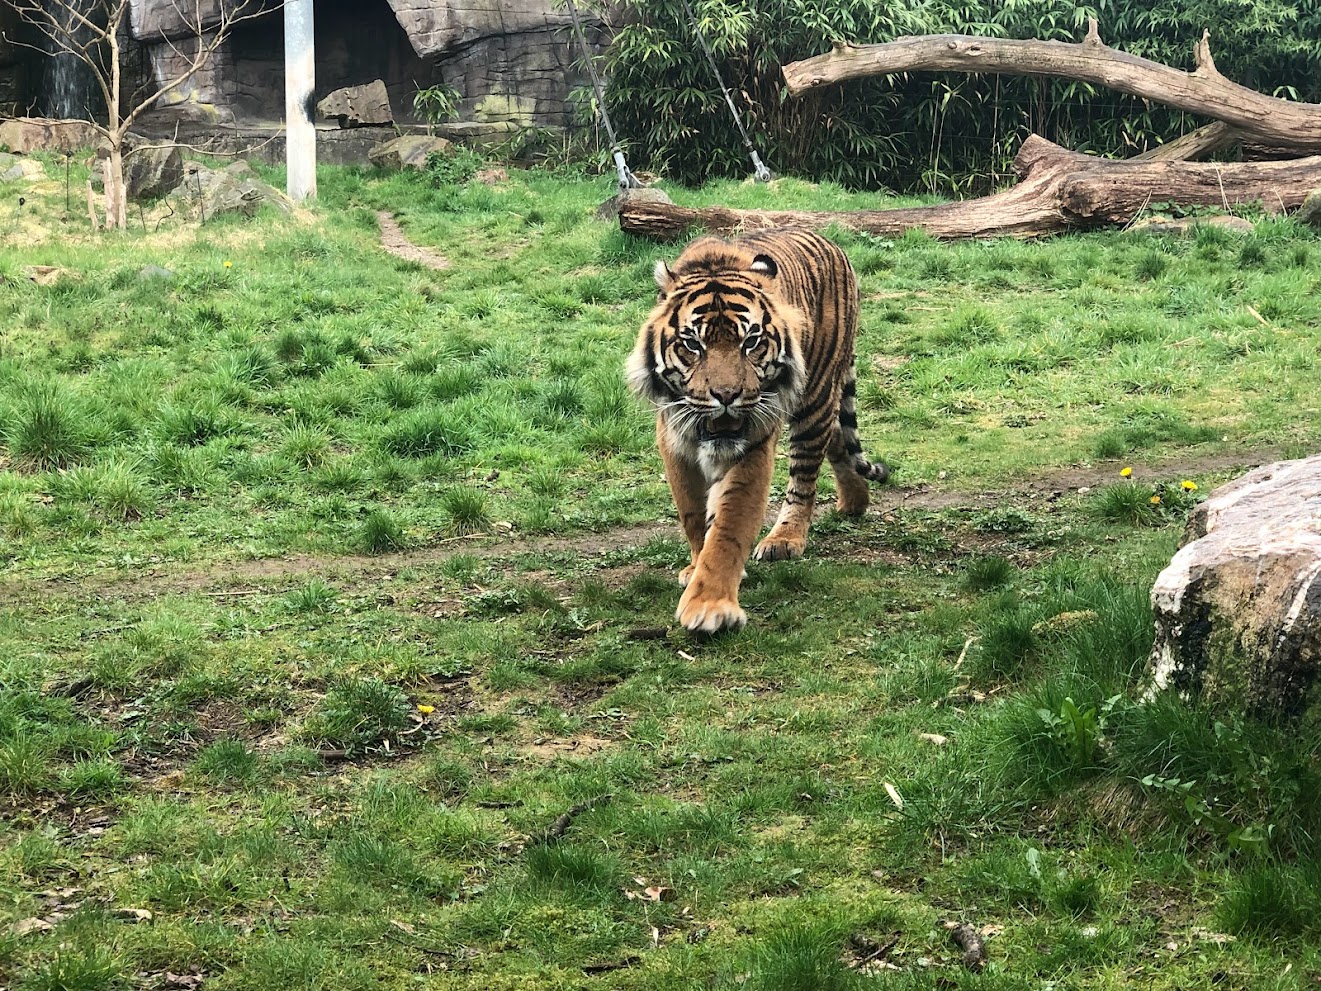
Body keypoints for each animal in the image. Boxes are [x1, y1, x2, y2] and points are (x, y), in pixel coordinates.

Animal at [626, 228, 889, 633]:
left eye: (750, 341)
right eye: (692, 344)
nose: (726, 395)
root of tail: (831, 243)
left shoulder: (753, 443)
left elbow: (729, 526)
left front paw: (710, 605)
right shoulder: (673, 438)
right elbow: (692, 513)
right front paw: (694, 566)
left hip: (814, 397)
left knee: (806, 474)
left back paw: (787, 537)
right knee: (837, 439)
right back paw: (854, 501)